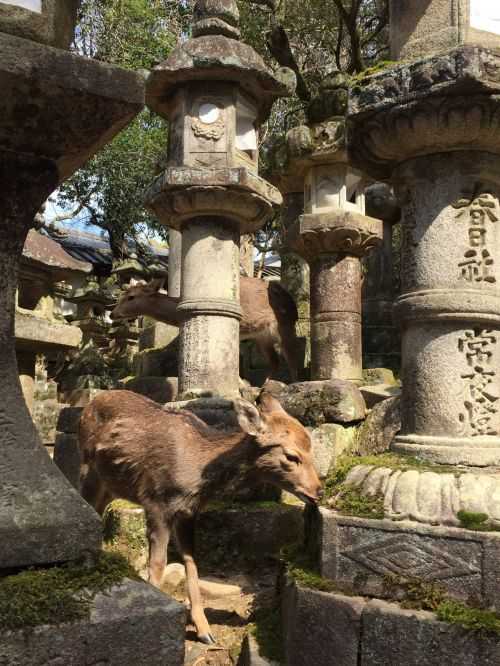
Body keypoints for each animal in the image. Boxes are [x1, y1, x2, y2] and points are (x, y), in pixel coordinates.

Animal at [78, 390, 320, 644]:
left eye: (311, 448)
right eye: (292, 456)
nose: (318, 491)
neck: (196, 476)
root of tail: (90, 404)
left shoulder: (188, 512)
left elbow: (191, 562)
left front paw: (204, 630)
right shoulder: (156, 503)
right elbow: (158, 564)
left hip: (111, 485)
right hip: (87, 469)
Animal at [111, 274, 298, 378]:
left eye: (131, 297)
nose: (112, 314)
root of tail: (292, 302)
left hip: (284, 324)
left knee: (292, 359)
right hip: (262, 336)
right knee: (275, 361)